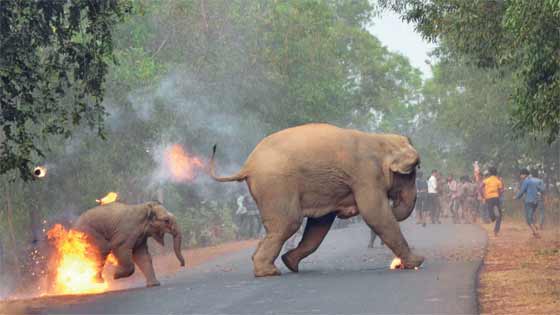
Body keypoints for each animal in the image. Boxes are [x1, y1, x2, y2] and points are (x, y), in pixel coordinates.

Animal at [211, 123, 424, 276]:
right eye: (411, 174)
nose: (394, 205)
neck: (381, 140)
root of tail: (247, 165)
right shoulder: (366, 175)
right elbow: (375, 213)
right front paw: (417, 262)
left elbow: (320, 224)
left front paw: (290, 261)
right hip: (276, 185)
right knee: (288, 223)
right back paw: (268, 272)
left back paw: (278, 265)